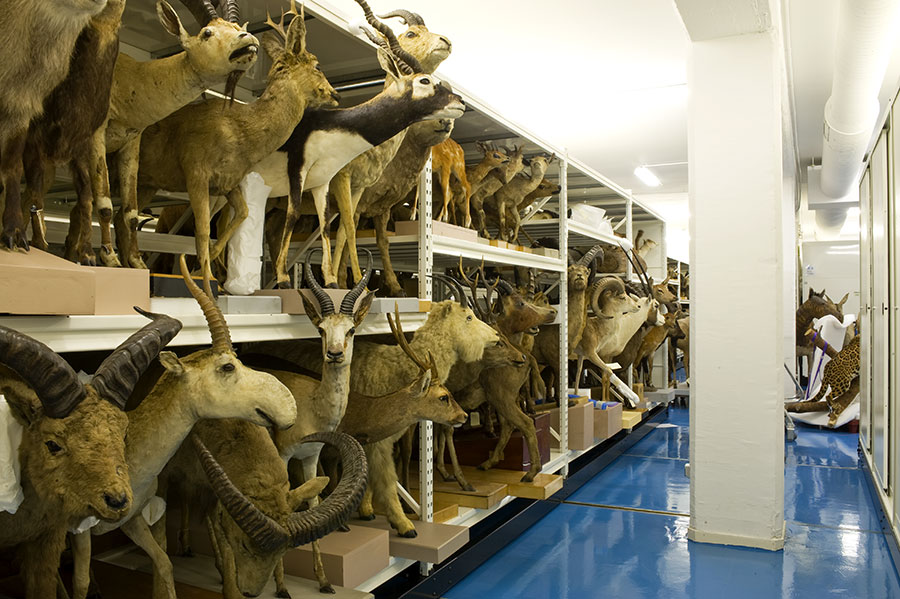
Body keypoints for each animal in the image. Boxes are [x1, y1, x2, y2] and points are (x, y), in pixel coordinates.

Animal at [18, 0, 124, 262]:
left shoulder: (80, 149)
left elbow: (86, 196)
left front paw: (87, 254)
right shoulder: (34, 143)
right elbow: (34, 194)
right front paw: (33, 243)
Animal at [106, 0, 260, 268]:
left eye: (238, 27)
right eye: (207, 33)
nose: (248, 38)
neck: (129, 79)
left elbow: (129, 214)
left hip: (147, 186)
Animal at [132, 2, 332, 284]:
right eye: (317, 65)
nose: (335, 94)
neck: (239, 128)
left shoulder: (226, 183)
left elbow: (242, 214)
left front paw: (206, 270)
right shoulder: (196, 172)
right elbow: (203, 230)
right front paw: (205, 280)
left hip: (147, 183)